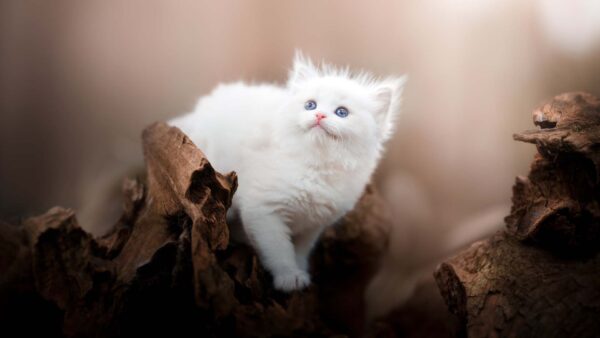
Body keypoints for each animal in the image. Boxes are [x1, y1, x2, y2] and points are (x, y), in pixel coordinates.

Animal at [166, 52, 406, 290]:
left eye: (342, 112)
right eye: (310, 105)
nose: (319, 116)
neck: (315, 168)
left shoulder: (313, 225)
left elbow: (300, 251)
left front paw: (301, 273)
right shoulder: (263, 210)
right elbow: (278, 249)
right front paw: (289, 277)